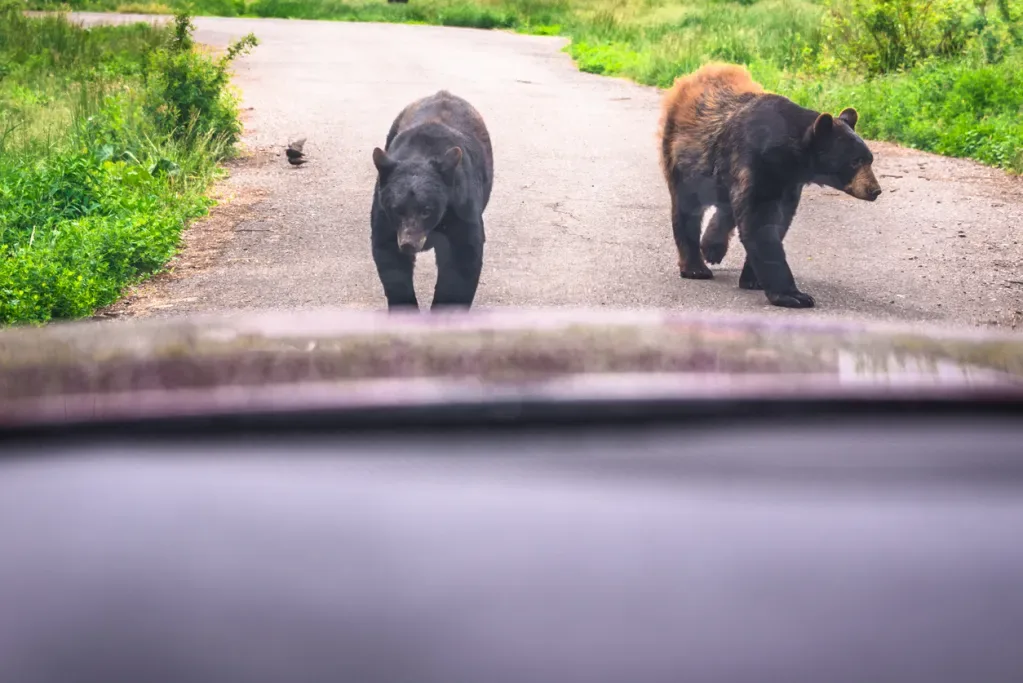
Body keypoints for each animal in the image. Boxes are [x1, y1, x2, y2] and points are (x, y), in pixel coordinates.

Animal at [372, 89, 495, 308]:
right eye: (397, 209)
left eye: (427, 210)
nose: (409, 244)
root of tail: (444, 92)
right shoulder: (384, 214)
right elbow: (389, 256)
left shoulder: (460, 206)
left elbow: (462, 258)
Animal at [658, 62, 883, 308]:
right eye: (855, 161)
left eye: (870, 159)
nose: (875, 190)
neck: (790, 156)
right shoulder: (758, 164)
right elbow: (760, 223)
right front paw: (794, 295)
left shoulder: (788, 183)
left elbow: (778, 221)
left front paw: (753, 279)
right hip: (683, 158)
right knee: (687, 208)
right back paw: (695, 267)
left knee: (726, 207)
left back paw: (712, 246)